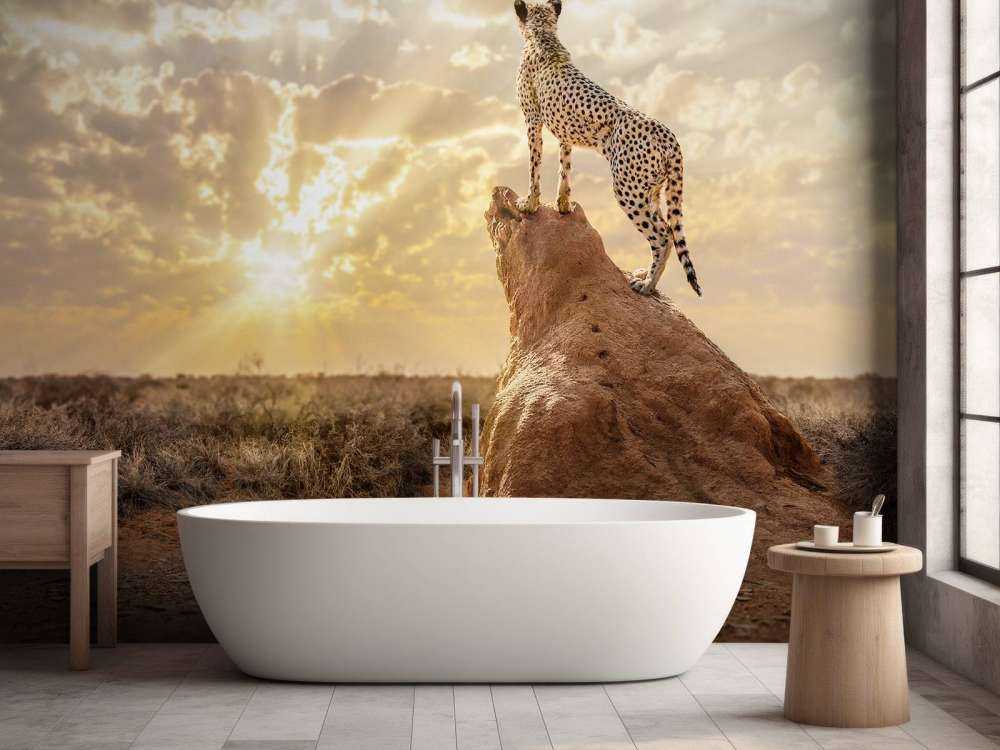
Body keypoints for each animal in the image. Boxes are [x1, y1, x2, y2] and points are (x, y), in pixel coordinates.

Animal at [513, 0, 701, 297]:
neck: (544, 36)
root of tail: (666, 133)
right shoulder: (564, 132)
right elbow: (564, 169)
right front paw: (563, 205)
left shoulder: (533, 120)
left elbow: (535, 167)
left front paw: (529, 204)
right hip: (651, 189)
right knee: (669, 230)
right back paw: (645, 275)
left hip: (628, 189)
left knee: (662, 235)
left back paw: (647, 284)